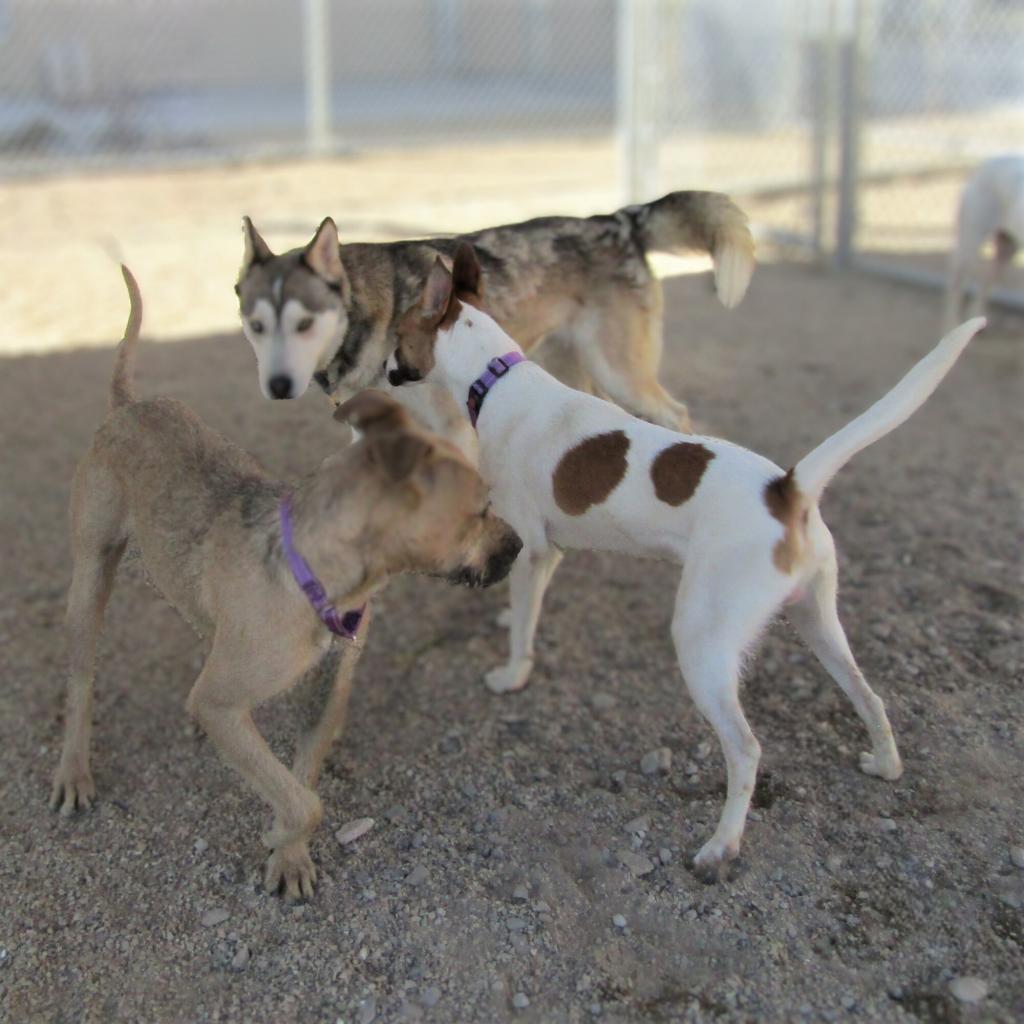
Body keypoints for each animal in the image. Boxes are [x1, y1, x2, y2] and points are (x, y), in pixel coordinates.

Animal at [51, 268, 520, 901]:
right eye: (480, 510)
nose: (518, 547)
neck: (315, 575)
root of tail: (129, 406)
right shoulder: (227, 700)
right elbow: (305, 802)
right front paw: (280, 834)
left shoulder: (326, 689)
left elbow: (302, 780)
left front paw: (290, 854)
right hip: (90, 581)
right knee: (81, 683)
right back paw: (74, 769)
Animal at [235, 192, 757, 436]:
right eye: (256, 327)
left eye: (304, 324)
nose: (277, 386)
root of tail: (617, 220)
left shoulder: (453, 430)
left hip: (622, 373)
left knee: (678, 415)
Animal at [385, 241, 983, 880]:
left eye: (399, 335)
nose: (383, 370)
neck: (498, 379)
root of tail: (786, 489)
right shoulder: (550, 555)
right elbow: (527, 606)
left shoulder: (534, 545)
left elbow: (523, 628)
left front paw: (512, 674)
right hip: (818, 622)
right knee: (869, 696)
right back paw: (885, 764)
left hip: (701, 641)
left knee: (745, 749)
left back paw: (721, 845)